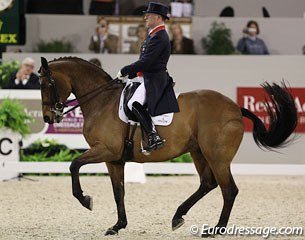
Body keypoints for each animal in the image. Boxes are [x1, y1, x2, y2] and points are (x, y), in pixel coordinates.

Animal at [38, 57, 296, 237]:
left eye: (46, 84)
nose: (49, 117)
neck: (101, 102)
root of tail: (234, 108)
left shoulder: (106, 150)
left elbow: (74, 165)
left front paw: (85, 200)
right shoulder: (114, 159)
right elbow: (118, 191)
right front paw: (118, 226)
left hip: (217, 157)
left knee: (228, 189)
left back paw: (216, 229)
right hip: (198, 152)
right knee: (207, 183)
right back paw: (178, 216)